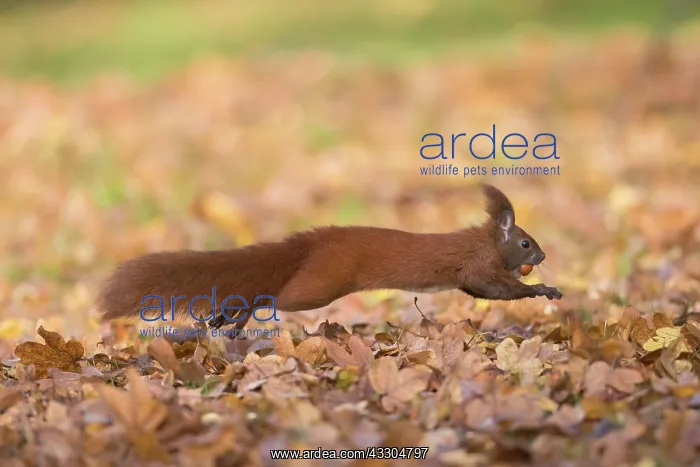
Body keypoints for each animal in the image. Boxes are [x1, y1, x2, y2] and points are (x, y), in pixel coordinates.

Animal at [95, 184, 562, 332]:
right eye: (525, 242)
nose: (542, 254)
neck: (486, 242)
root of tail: (313, 244)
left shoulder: (467, 277)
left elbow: (482, 293)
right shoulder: (477, 265)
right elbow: (497, 289)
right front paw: (545, 288)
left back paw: (226, 318)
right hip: (323, 282)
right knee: (276, 297)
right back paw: (236, 316)